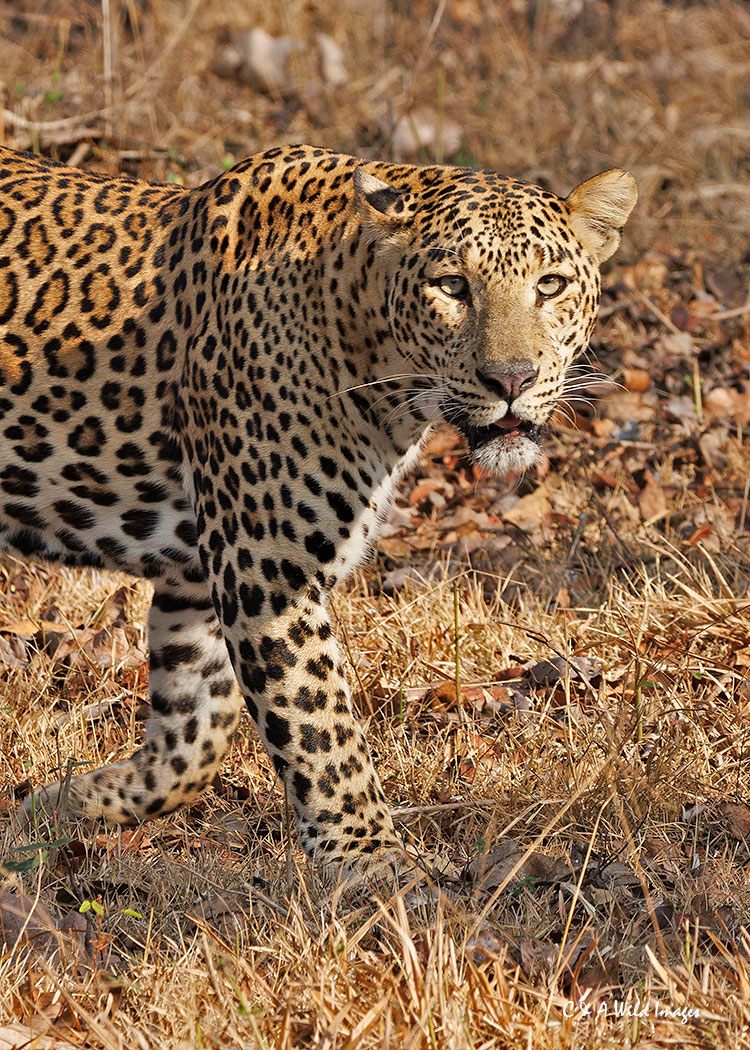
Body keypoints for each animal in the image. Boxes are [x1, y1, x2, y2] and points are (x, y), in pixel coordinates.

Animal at [0, 143, 636, 881]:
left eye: (551, 285)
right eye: (453, 286)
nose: (511, 379)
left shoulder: (198, 581)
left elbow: (194, 739)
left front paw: (67, 805)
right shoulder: (266, 571)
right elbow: (321, 728)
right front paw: (376, 863)